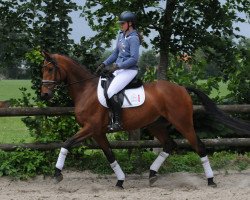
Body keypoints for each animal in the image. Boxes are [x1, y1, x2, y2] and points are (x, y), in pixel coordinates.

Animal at [41, 51, 250, 189]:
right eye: (43, 69)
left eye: (50, 68)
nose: (44, 95)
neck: (86, 90)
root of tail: (181, 88)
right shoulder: (98, 132)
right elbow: (109, 155)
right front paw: (120, 180)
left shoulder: (91, 128)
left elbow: (66, 143)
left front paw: (57, 174)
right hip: (155, 124)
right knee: (169, 144)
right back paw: (152, 174)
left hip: (183, 123)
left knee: (199, 146)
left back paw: (210, 180)